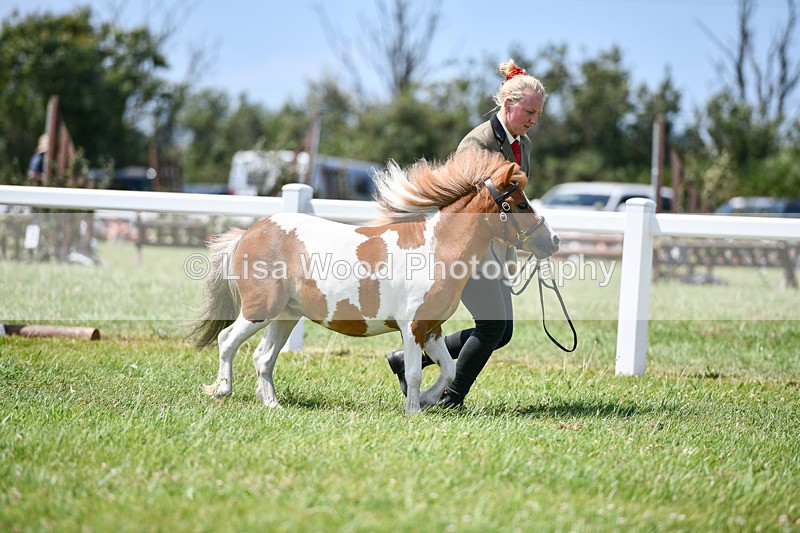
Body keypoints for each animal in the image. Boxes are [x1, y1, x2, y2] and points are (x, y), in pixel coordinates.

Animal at [189, 149, 560, 414]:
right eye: (520, 204)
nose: (553, 241)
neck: (435, 249)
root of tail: (249, 233)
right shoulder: (412, 326)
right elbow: (414, 372)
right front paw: (413, 410)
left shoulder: (432, 328)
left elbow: (448, 370)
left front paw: (428, 400)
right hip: (259, 310)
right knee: (226, 340)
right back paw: (222, 390)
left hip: (286, 315)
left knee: (263, 357)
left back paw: (273, 404)